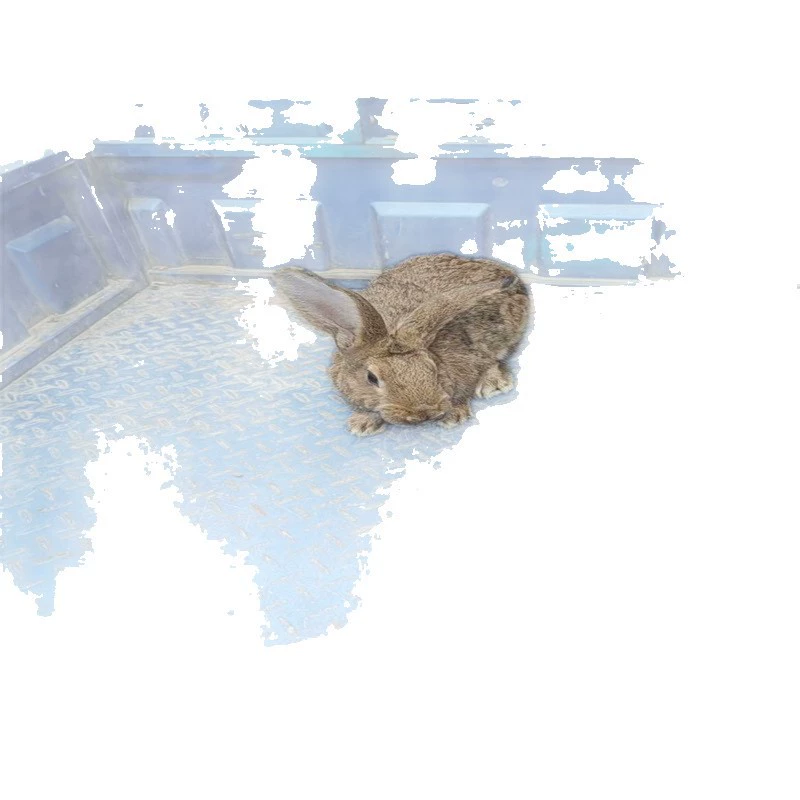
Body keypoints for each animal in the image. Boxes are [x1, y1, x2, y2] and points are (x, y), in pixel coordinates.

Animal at [270, 253, 532, 436]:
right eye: (371, 378)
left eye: (433, 368)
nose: (423, 413)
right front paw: (362, 423)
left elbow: (464, 390)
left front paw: (453, 416)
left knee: (495, 358)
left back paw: (493, 384)